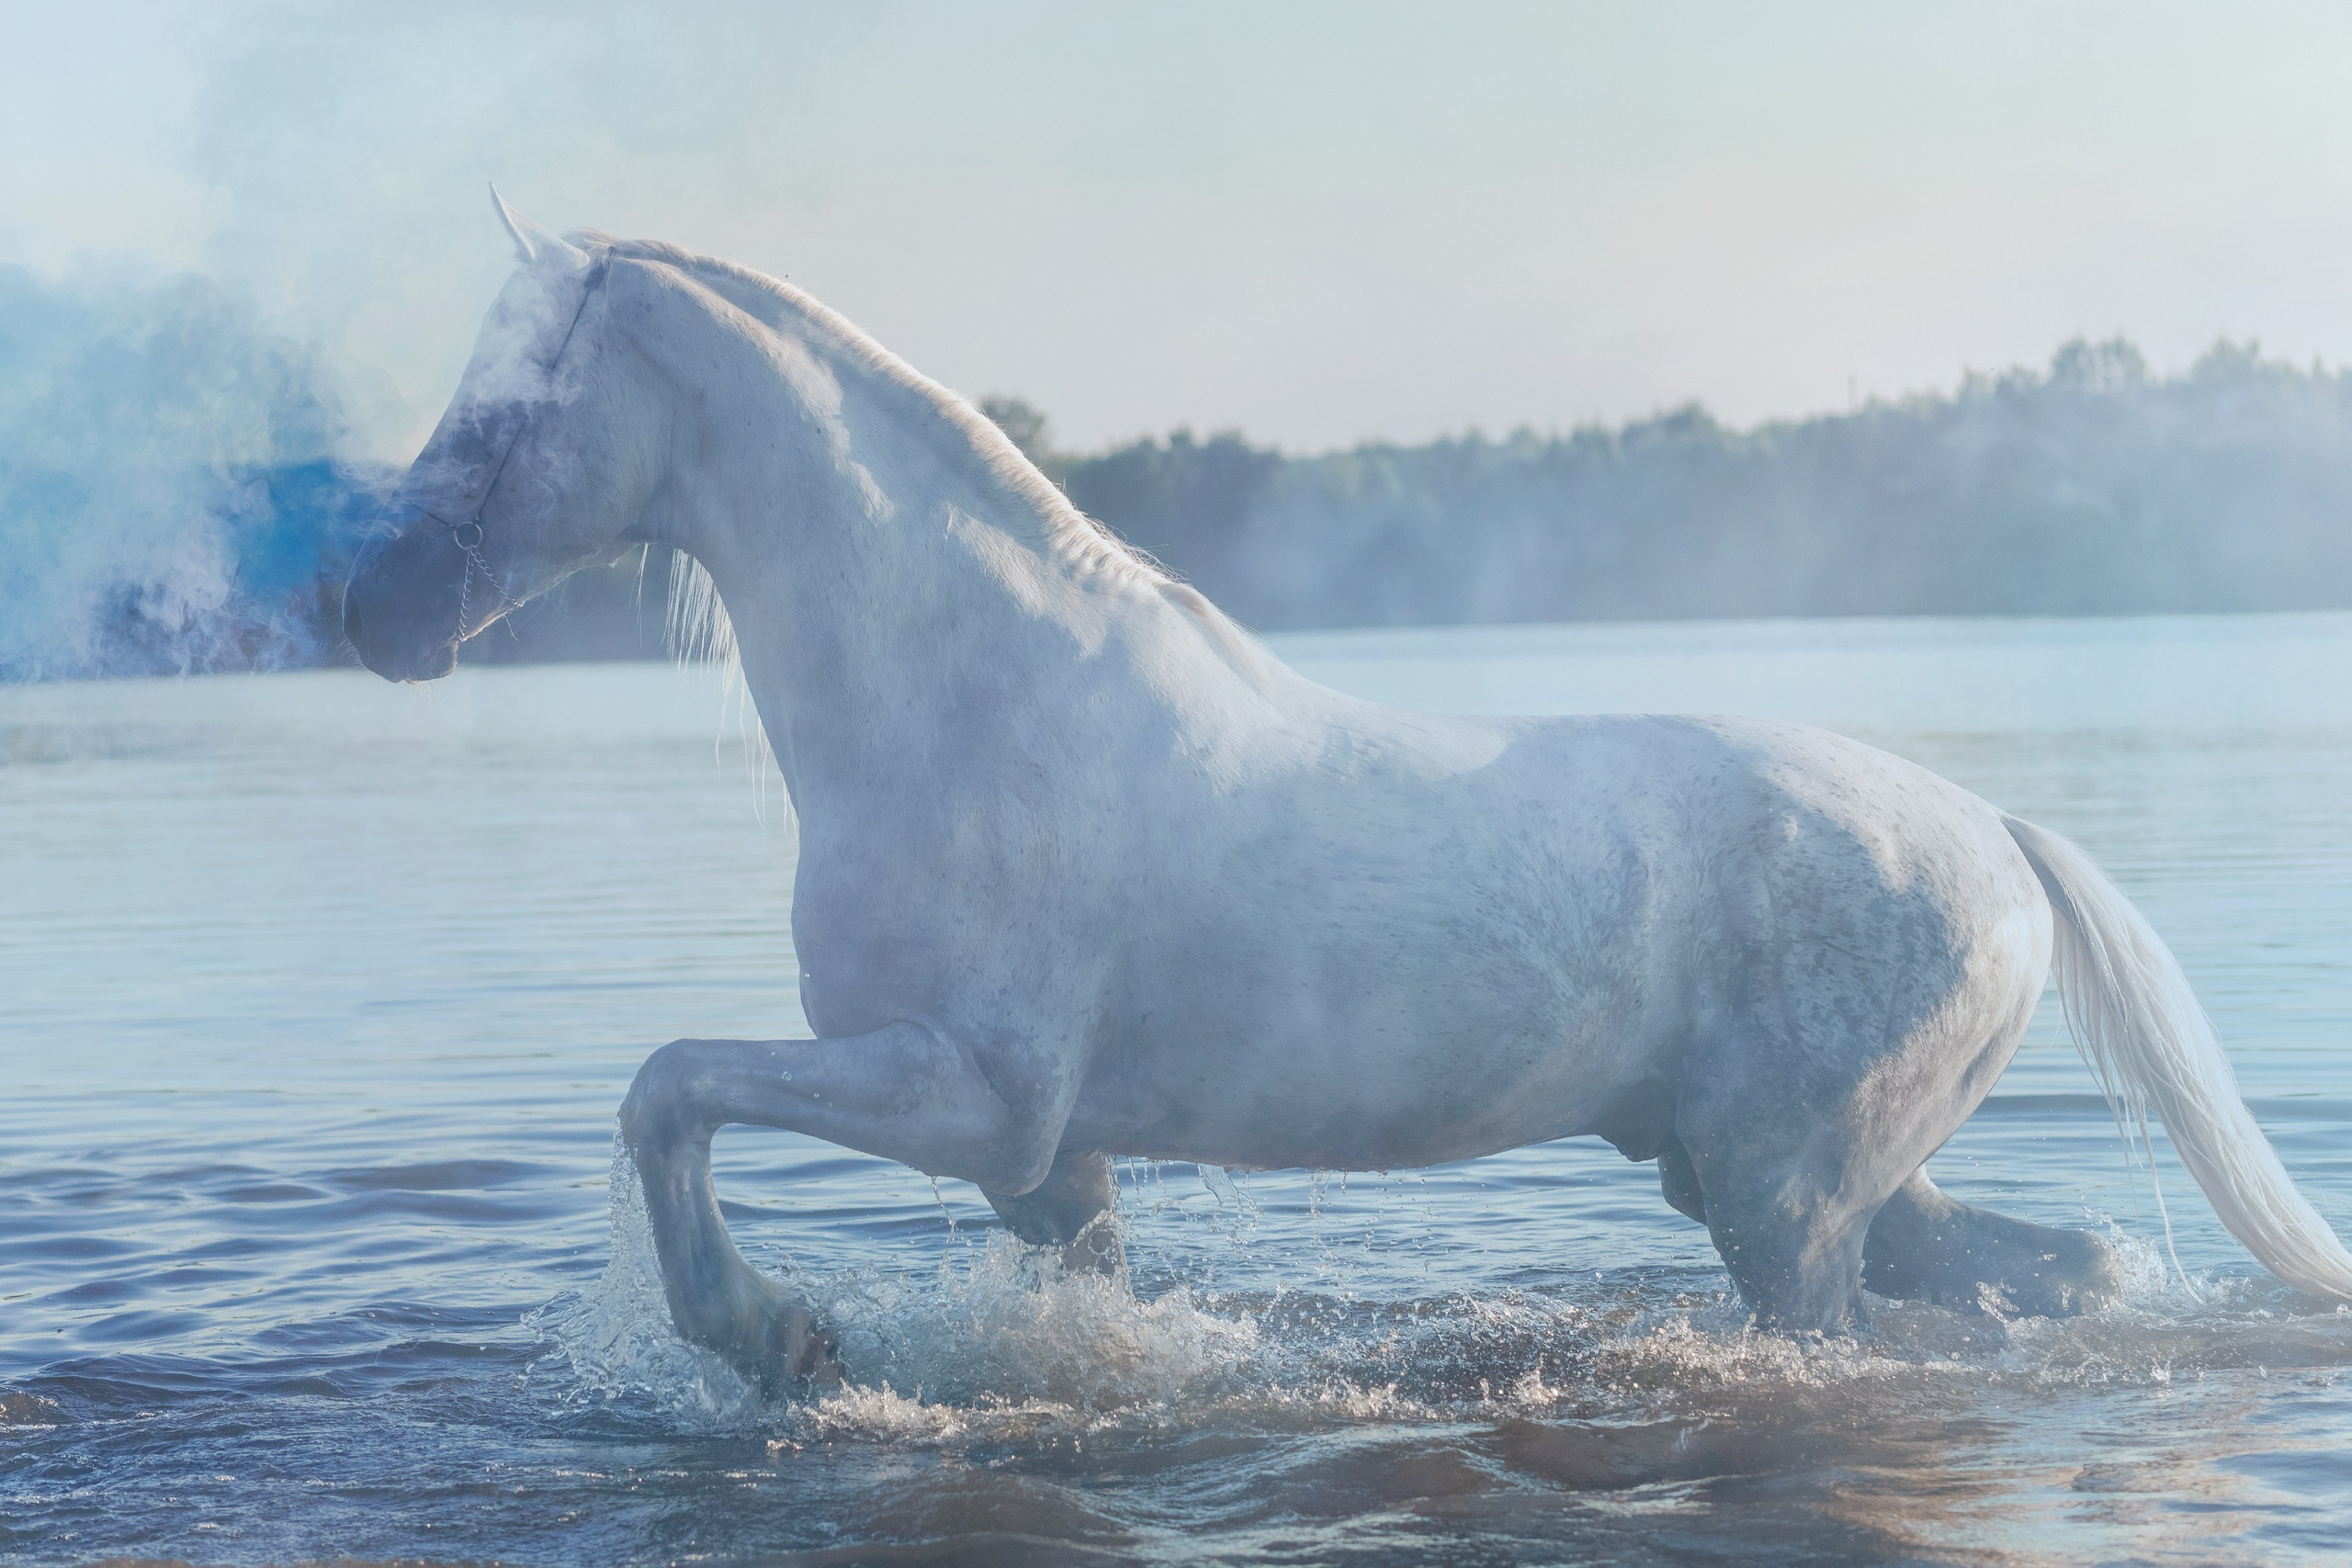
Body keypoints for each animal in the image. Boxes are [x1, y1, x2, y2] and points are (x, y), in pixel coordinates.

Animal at [343, 193, 2352, 1392]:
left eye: (504, 408)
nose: (373, 609)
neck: (965, 702)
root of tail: (1997, 840)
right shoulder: (1040, 1158)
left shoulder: (969, 1091)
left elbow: (664, 1083)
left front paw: (767, 1331)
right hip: (1796, 1175)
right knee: (2067, 1265)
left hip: (1786, 1205)